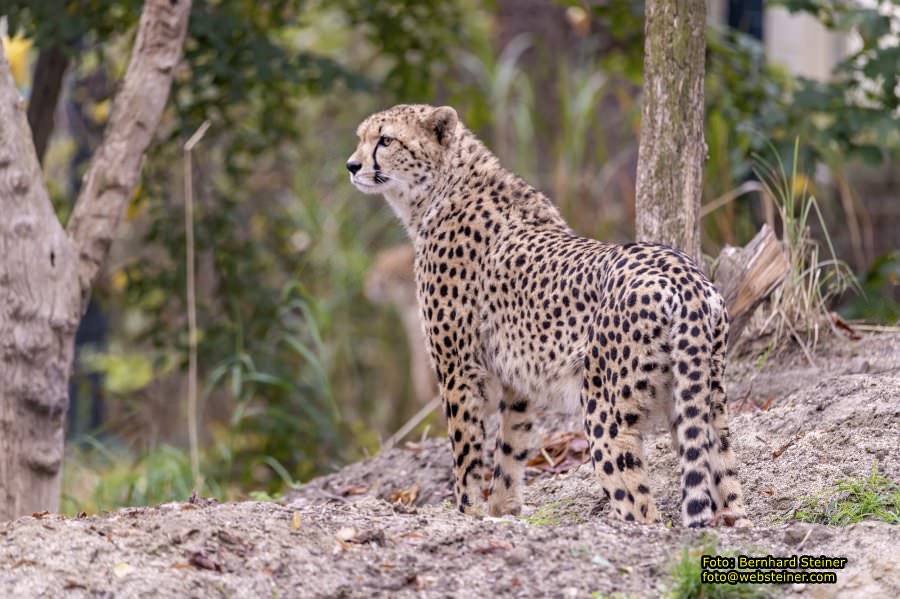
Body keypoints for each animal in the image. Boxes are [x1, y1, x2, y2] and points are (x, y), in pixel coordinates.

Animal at [348, 105, 748, 528]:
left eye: (385, 140)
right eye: (361, 137)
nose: (352, 165)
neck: (441, 188)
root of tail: (683, 271)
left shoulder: (458, 370)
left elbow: (467, 452)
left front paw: (468, 513)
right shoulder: (516, 380)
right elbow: (511, 446)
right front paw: (502, 511)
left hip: (605, 411)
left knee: (638, 502)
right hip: (707, 399)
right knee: (724, 474)